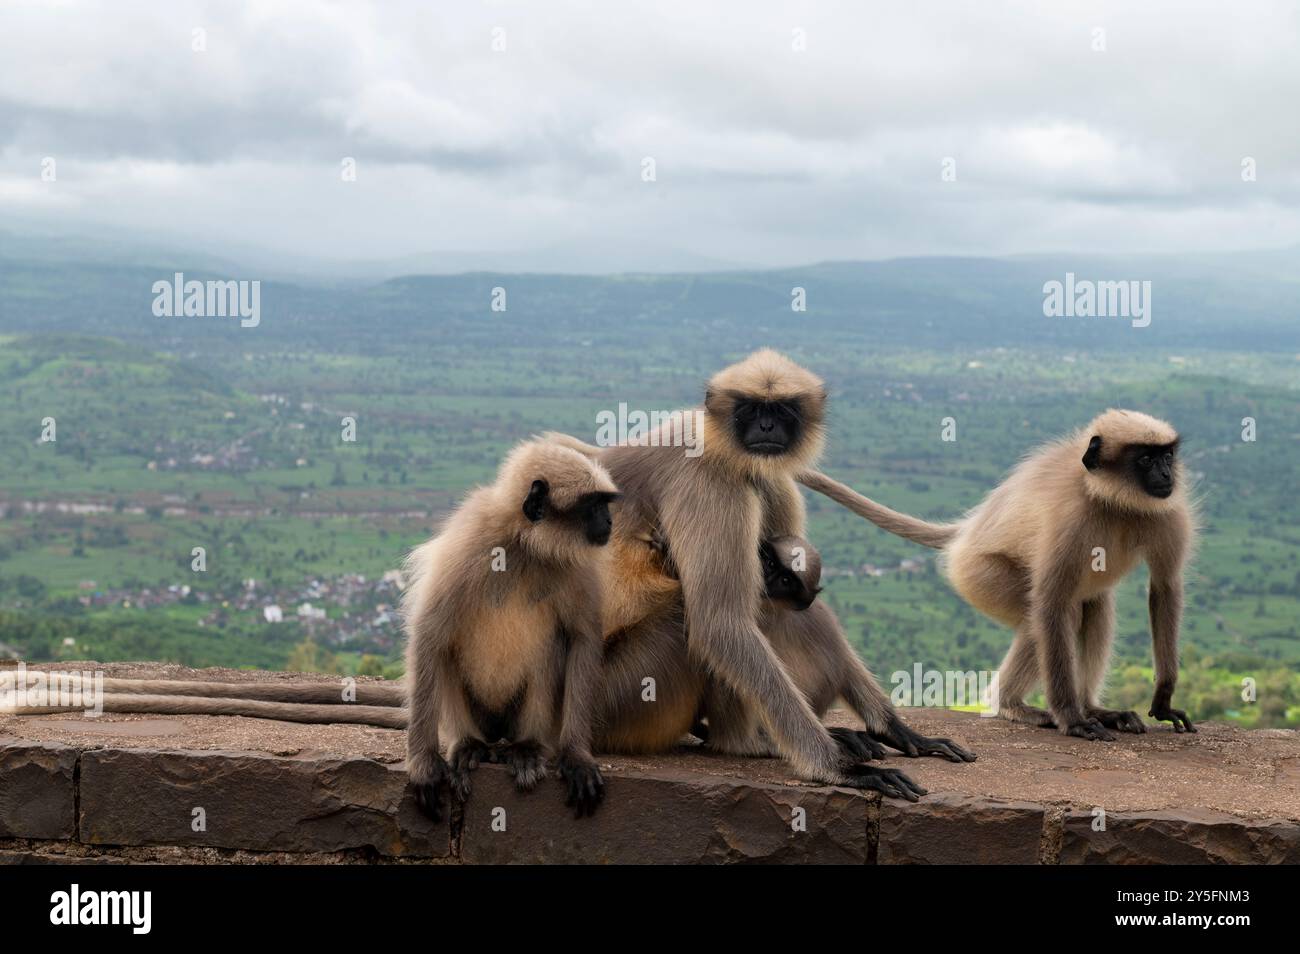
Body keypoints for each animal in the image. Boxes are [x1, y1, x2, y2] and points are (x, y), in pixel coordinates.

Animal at [397, 441, 616, 821]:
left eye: (605, 504)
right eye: (593, 506)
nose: (609, 521)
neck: (524, 543)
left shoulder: (577, 566)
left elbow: (582, 638)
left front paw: (576, 756)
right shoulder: (473, 539)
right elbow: (429, 634)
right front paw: (423, 765)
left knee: (549, 649)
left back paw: (526, 747)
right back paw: (470, 745)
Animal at [800, 408, 1196, 738]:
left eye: (1166, 456)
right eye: (1145, 459)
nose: (1166, 474)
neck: (1112, 499)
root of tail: (967, 531)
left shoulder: (1168, 509)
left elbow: (1165, 587)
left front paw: (1162, 700)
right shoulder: (1070, 516)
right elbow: (1050, 603)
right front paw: (1071, 718)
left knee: (1094, 606)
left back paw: (1094, 708)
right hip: (979, 575)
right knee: (1050, 614)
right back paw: (1011, 706)